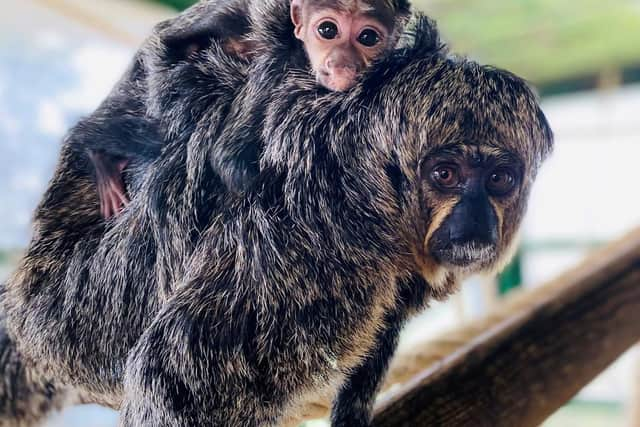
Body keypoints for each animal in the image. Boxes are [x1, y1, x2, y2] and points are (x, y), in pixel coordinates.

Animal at [82, 0, 410, 217]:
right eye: (328, 30)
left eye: (368, 37)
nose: (343, 62)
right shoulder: (277, 65)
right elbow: (228, 161)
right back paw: (99, 152)